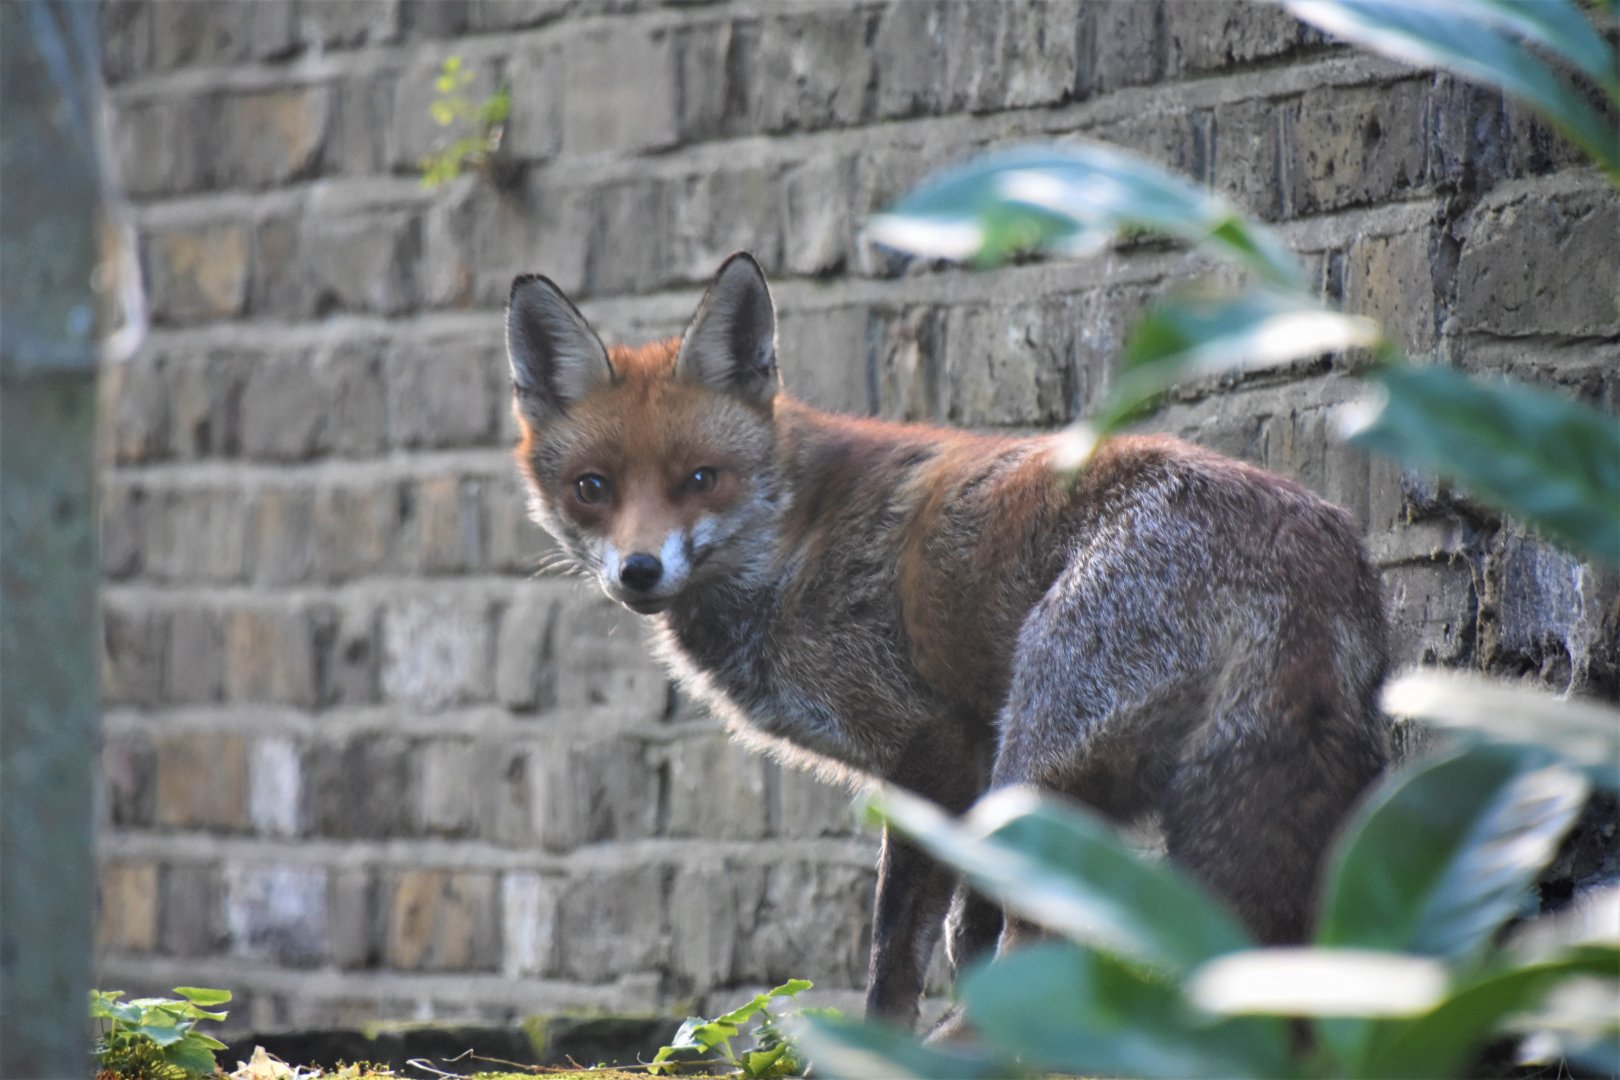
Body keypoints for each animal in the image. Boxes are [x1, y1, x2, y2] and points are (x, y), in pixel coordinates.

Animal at [505, 252, 1390, 1029]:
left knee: (1042, 950)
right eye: (592, 489)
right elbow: (968, 946)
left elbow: (897, 953)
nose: (639, 570)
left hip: (1036, 768)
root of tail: (1310, 536)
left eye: (700, 479)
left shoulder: (935, 750)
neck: (793, 542)